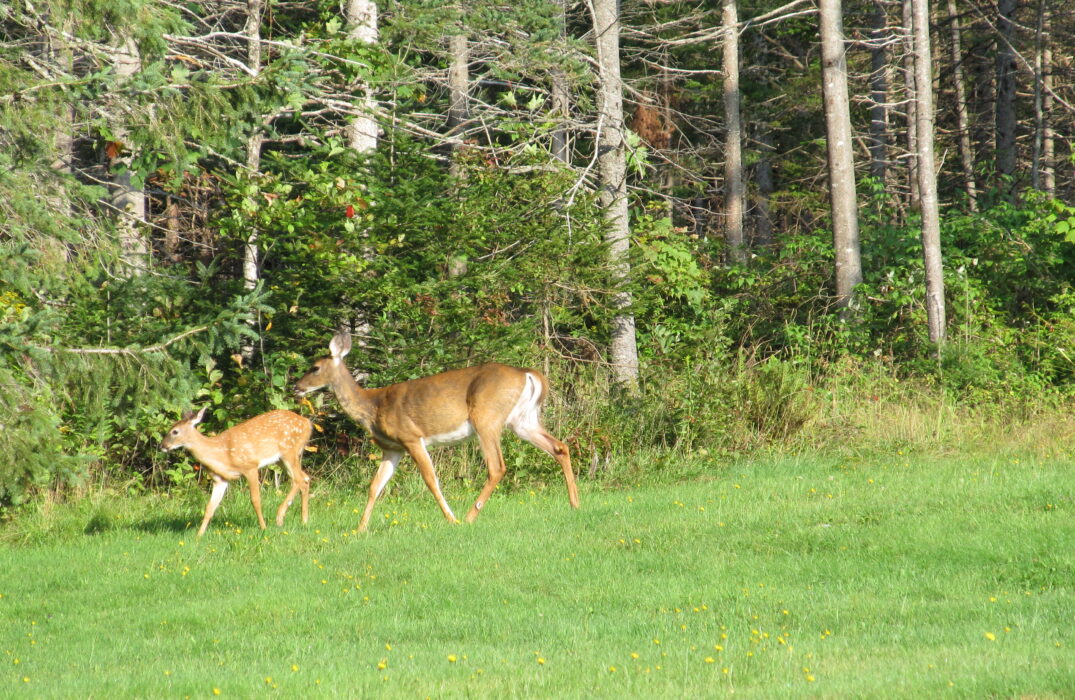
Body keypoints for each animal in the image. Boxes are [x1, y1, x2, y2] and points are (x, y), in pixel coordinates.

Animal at [160, 407, 313, 536]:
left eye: (175, 431)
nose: (162, 446)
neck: (221, 454)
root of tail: (307, 423)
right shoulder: (220, 479)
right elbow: (210, 507)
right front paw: (199, 536)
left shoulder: (250, 467)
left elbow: (255, 500)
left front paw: (263, 528)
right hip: (281, 459)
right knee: (305, 478)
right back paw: (304, 521)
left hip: (289, 451)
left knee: (298, 479)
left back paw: (280, 517)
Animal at [294, 332, 579, 532]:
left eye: (315, 367)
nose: (296, 386)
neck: (373, 407)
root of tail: (527, 373)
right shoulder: (392, 448)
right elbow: (375, 486)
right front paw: (360, 528)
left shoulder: (411, 437)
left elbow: (431, 480)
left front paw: (450, 519)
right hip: (522, 421)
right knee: (559, 447)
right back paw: (575, 504)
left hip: (486, 418)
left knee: (497, 466)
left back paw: (469, 516)